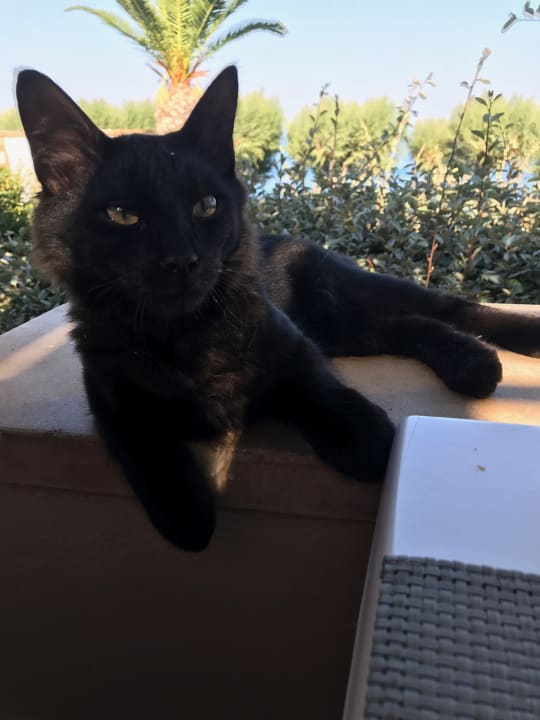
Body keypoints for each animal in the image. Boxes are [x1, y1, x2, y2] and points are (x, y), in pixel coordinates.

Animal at [16, 66, 540, 551]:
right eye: (122, 215)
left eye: (206, 206)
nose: (182, 260)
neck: (184, 336)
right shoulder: (110, 398)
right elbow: (159, 474)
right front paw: (188, 506)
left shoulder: (293, 347)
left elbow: (352, 422)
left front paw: (357, 433)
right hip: (341, 328)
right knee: (405, 326)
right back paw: (469, 363)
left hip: (347, 295)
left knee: (449, 305)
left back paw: (499, 348)